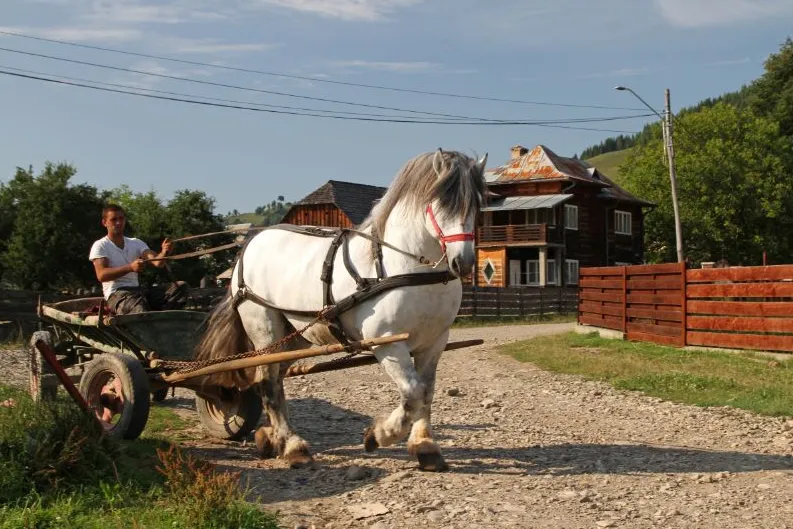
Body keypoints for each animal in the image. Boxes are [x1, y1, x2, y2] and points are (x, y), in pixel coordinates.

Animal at [195, 150, 486, 470]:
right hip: (265, 330)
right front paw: (378, 435)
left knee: (274, 380)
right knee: (268, 384)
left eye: (477, 204)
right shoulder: (388, 343)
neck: (408, 267)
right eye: (443, 202)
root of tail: (250, 245)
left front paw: (425, 446)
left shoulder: (434, 342)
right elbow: (413, 393)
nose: (464, 262)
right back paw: (292, 446)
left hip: (293, 336)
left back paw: (271, 437)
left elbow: (427, 391)